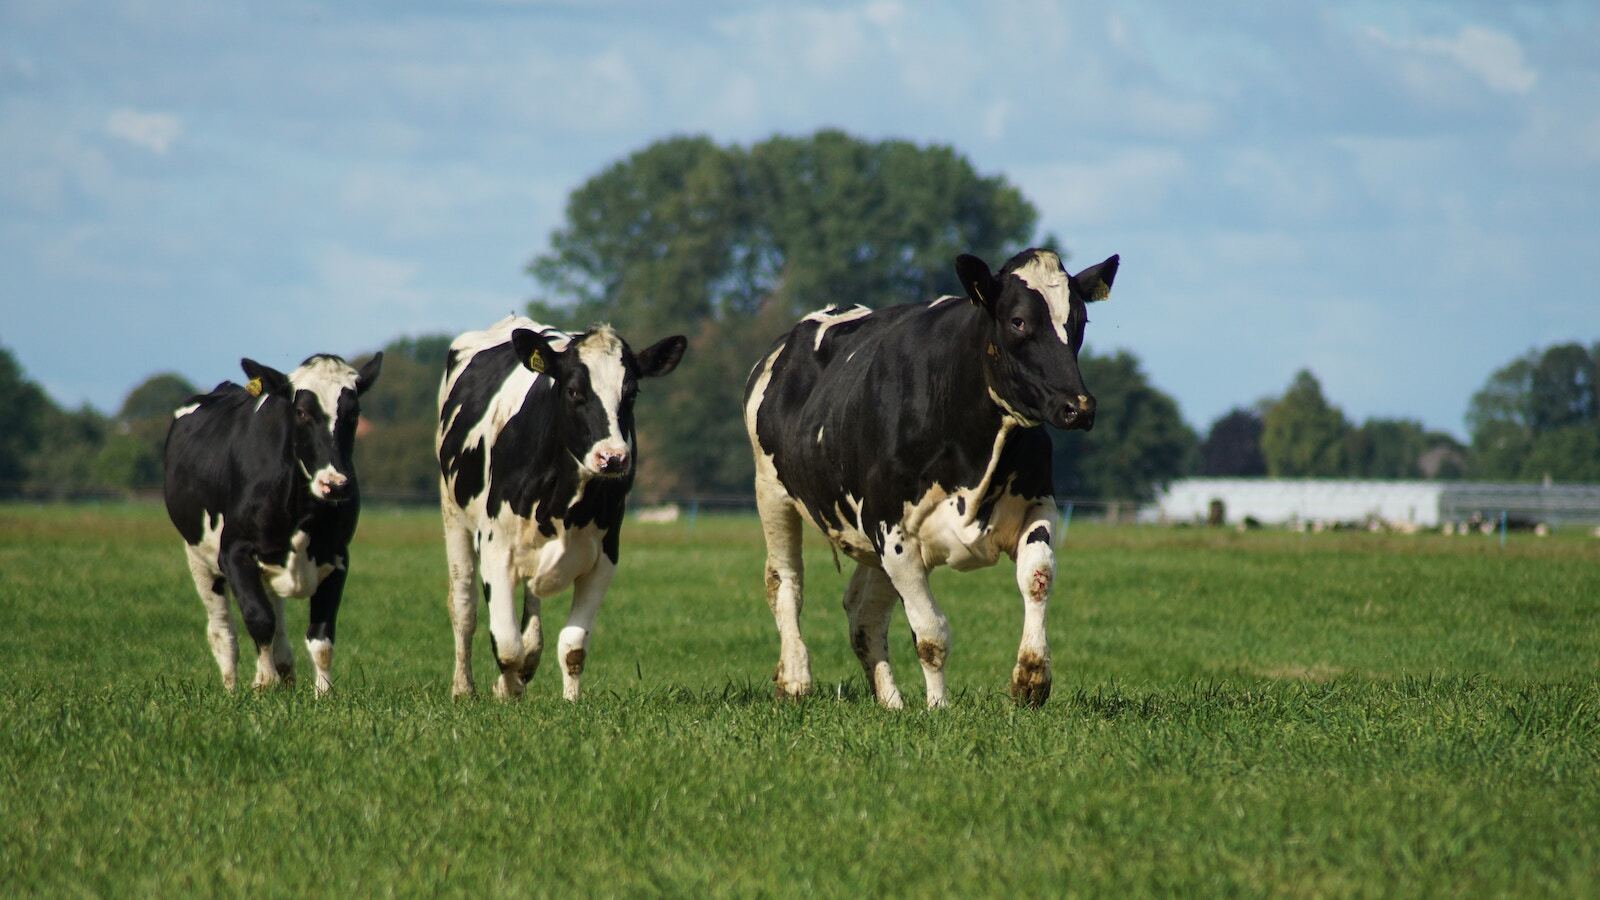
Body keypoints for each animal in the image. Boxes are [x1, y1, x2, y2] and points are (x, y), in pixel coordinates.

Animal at [164, 352, 382, 694]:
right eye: (301, 412)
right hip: (199, 558)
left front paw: (323, 694)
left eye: (354, 412)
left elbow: (321, 636)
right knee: (223, 631)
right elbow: (258, 618)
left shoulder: (338, 556)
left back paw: (284, 670)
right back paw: (232, 687)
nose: (335, 485)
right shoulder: (234, 552)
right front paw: (263, 681)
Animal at [436, 315, 686, 700]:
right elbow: (506, 644)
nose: (613, 457)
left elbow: (572, 647)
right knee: (464, 607)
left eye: (631, 394)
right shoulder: (496, 548)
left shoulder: (604, 557)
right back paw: (464, 688)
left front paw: (570, 702)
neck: (564, 500)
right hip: (453, 516)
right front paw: (507, 690)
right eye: (573, 391)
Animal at [743, 248, 1118, 709]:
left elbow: (1038, 576)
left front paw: (1031, 678)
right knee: (785, 582)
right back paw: (796, 679)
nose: (1078, 406)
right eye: (1018, 321)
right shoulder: (893, 532)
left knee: (863, 613)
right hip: (772, 492)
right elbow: (930, 634)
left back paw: (891, 702)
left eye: (1080, 321)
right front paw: (938, 708)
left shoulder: (1037, 503)